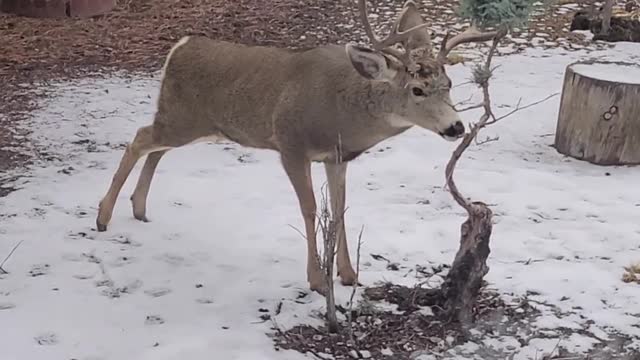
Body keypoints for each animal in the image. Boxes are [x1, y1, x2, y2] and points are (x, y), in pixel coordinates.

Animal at [95, 0, 498, 294]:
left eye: (449, 83)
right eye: (416, 90)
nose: (455, 126)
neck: (341, 115)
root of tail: (179, 47)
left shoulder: (337, 157)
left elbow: (339, 209)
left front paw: (349, 274)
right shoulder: (290, 145)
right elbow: (309, 209)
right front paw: (317, 280)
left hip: (193, 124)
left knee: (155, 147)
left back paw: (139, 208)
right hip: (182, 118)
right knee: (139, 138)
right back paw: (103, 217)